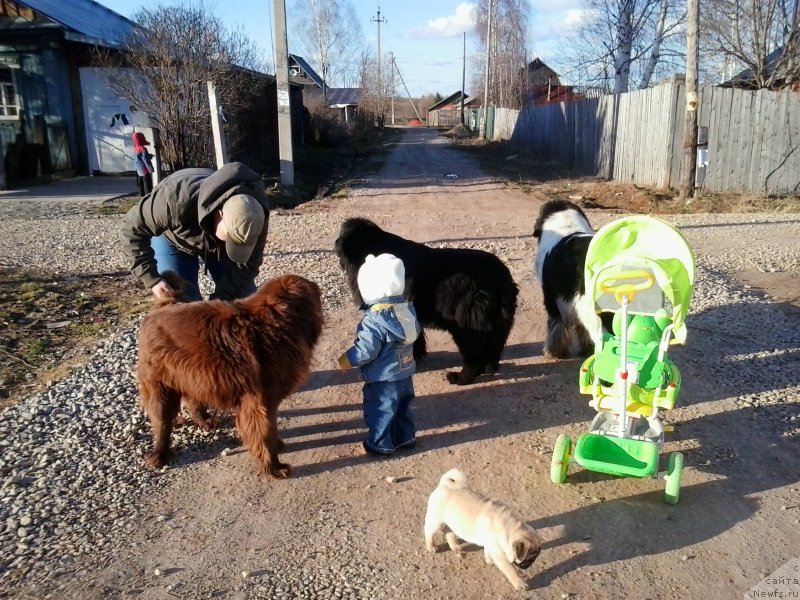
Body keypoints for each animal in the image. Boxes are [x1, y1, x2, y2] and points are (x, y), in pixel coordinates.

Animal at [137, 274, 322, 478]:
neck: (275, 325)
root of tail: (160, 308)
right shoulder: (260, 402)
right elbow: (266, 433)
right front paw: (274, 467)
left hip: (193, 377)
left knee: (193, 401)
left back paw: (205, 420)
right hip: (160, 386)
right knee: (162, 421)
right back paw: (159, 454)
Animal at [336, 218, 520, 386]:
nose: (336, 244)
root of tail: (501, 277)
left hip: (467, 326)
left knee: (474, 357)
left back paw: (460, 378)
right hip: (499, 324)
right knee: (494, 348)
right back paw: (490, 369)